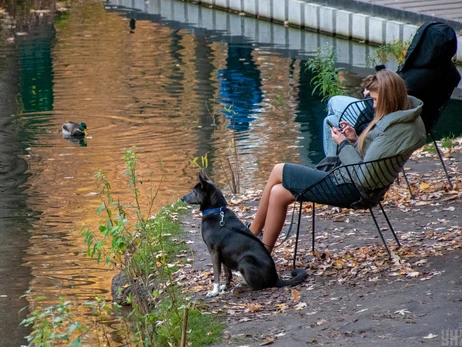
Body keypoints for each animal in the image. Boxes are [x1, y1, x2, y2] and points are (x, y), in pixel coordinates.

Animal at [182, 170, 308, 298]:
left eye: (194, 191)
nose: (182, 198)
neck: (216, 212)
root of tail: (275, 279)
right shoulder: (223, 253)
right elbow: (227, 273)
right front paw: (224, 287)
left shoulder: (214, 252)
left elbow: (217, 274)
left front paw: (214, 291)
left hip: (246, 260)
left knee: (257, 287)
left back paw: (239, 287)